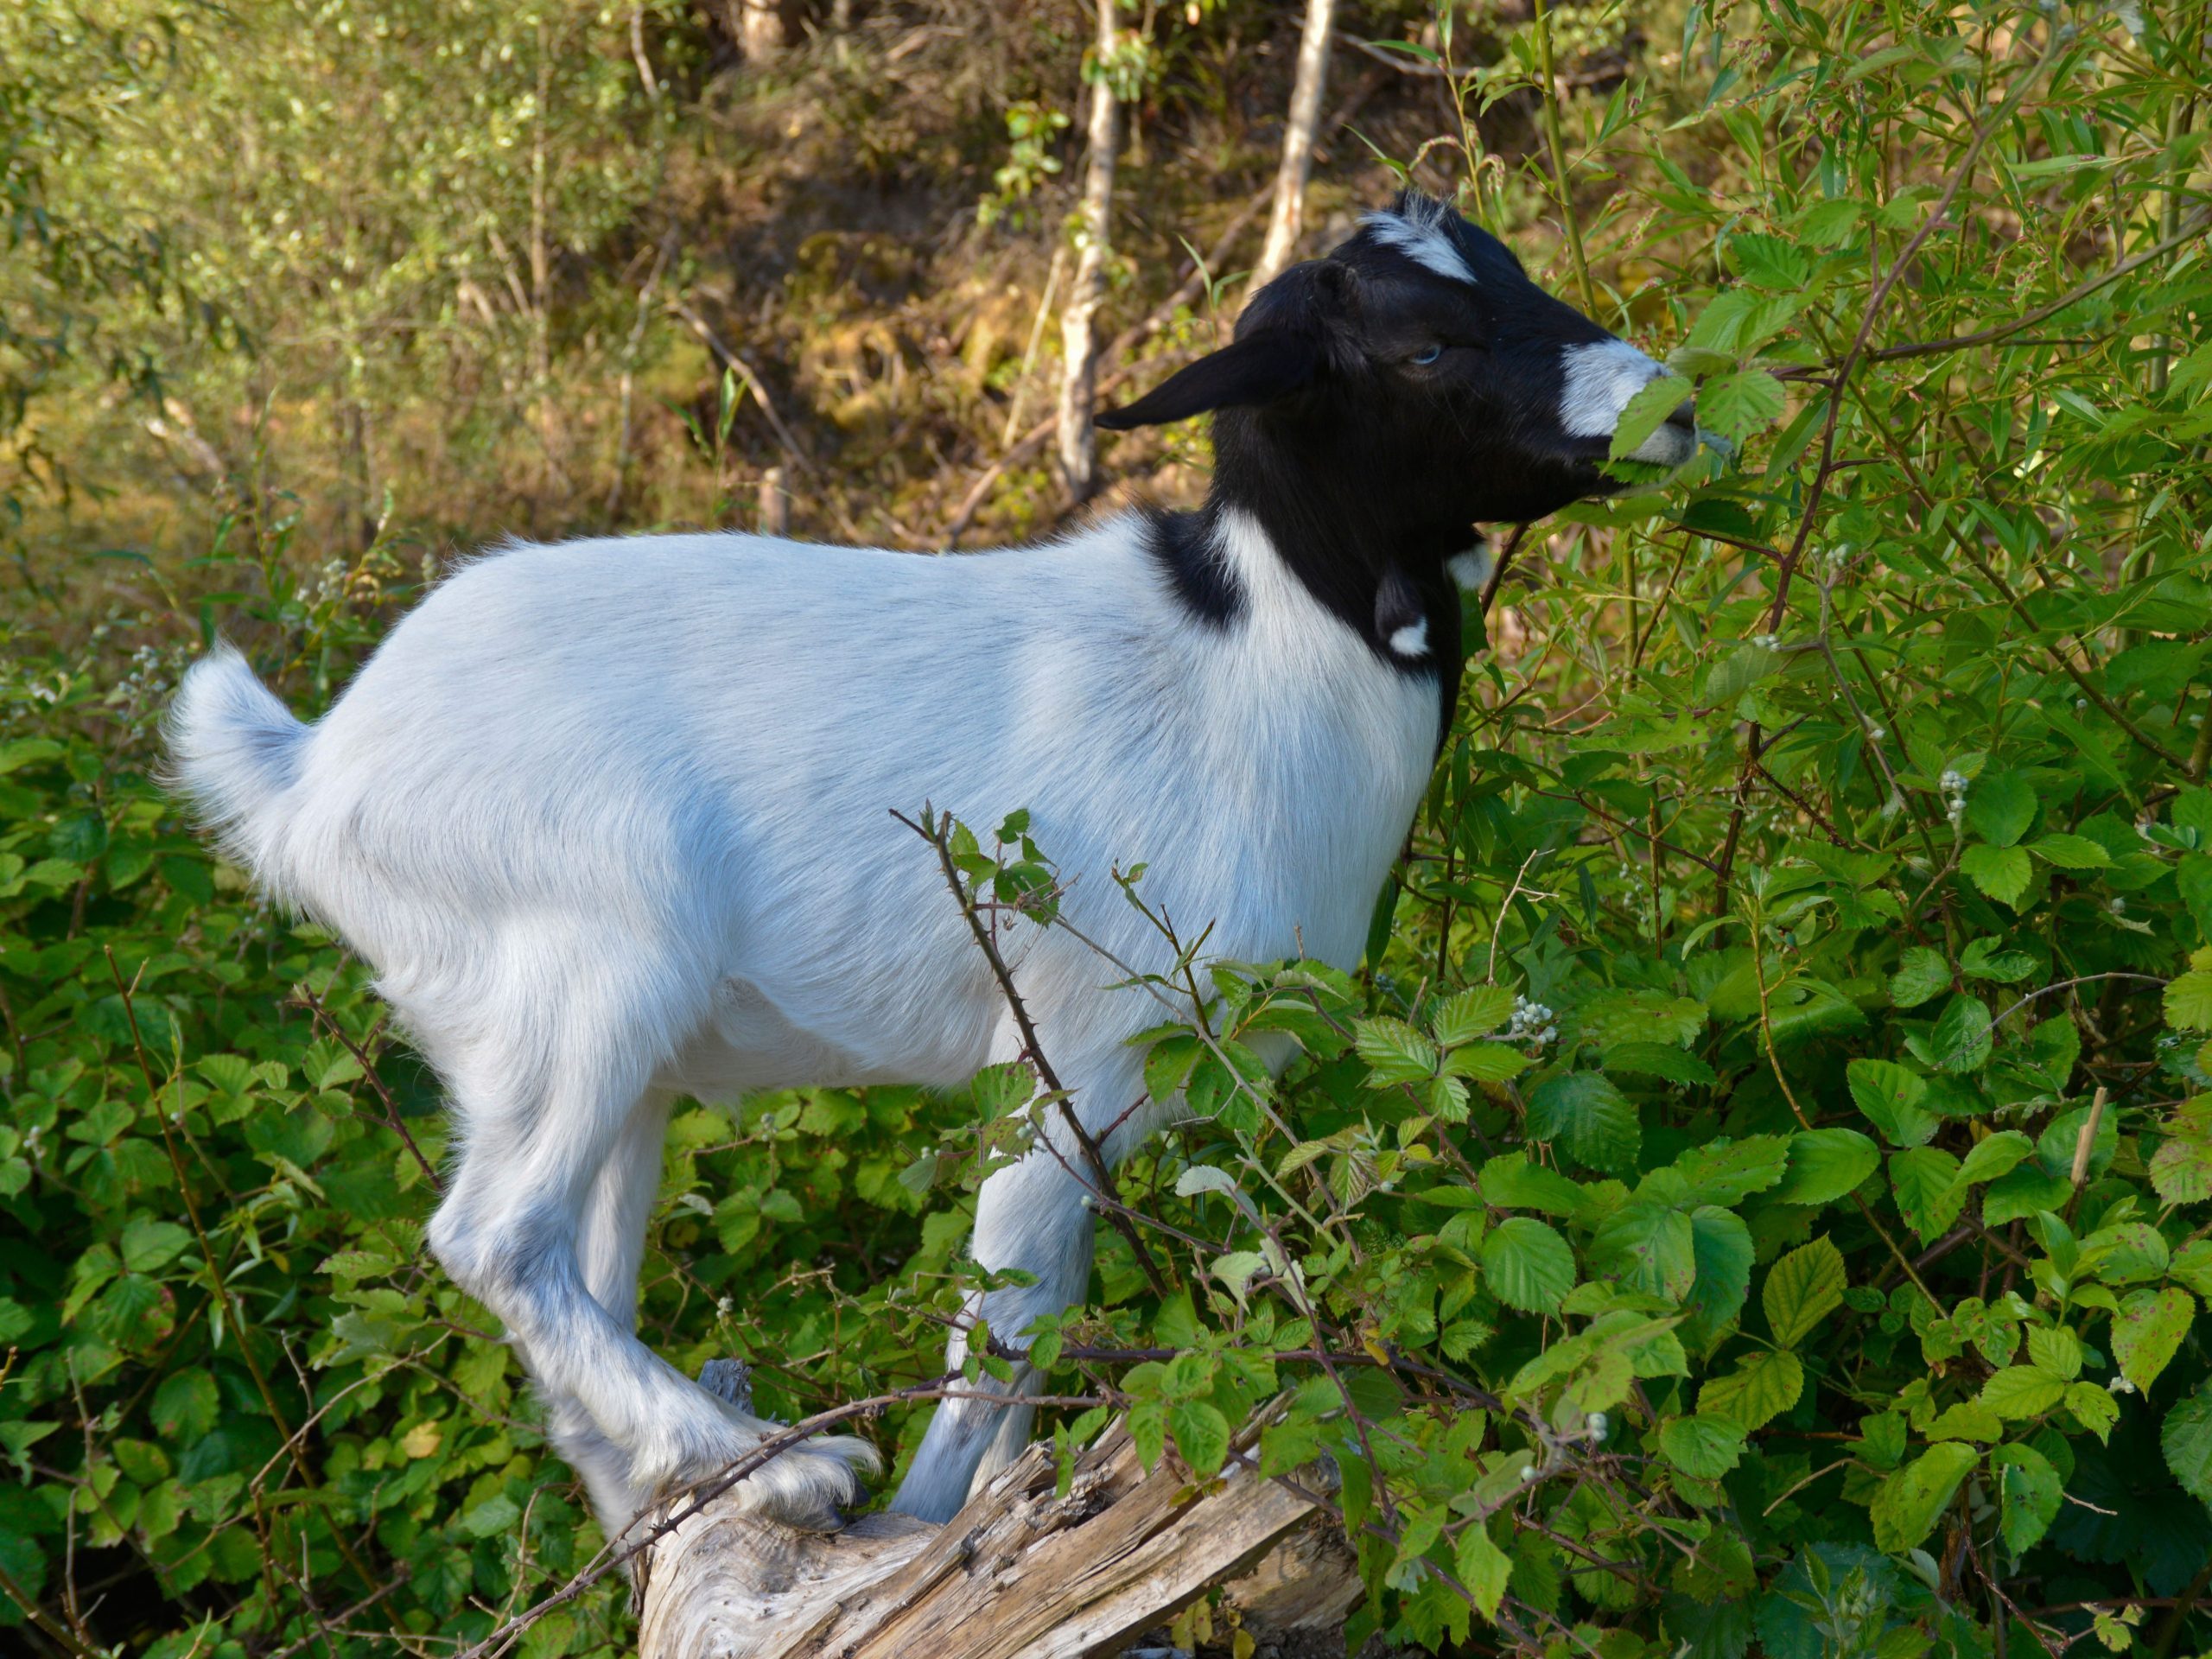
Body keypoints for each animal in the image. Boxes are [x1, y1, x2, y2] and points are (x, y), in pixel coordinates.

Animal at [168, 191, 1696, 1539]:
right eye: (1423, 345)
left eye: (1514, 274)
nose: (1673, 405)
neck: (1246, 654)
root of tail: (316, 772)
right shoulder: (1071, 1058)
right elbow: (1001, 1338)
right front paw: (927, 1530)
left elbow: (1042, 1332)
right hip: (587, 965)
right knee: (494, 1239)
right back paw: (790, 1470)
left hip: (603, 1063)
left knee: (581, 1283)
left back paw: (698, 1498)